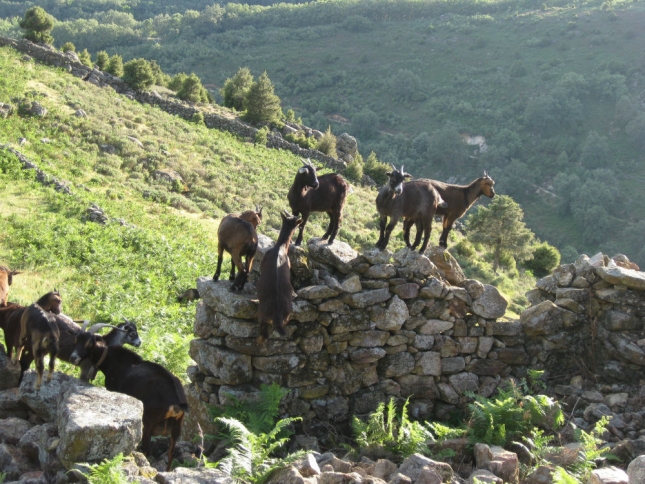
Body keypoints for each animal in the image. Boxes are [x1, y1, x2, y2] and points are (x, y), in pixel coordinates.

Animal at [71, 328, 186, 470]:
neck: (115, 360)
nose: (73, 358)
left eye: (88, 343)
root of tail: (176, 400)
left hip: (148, 422)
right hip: (177, 425)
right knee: (171, 452)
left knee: (147, 450)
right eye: (76, 340)